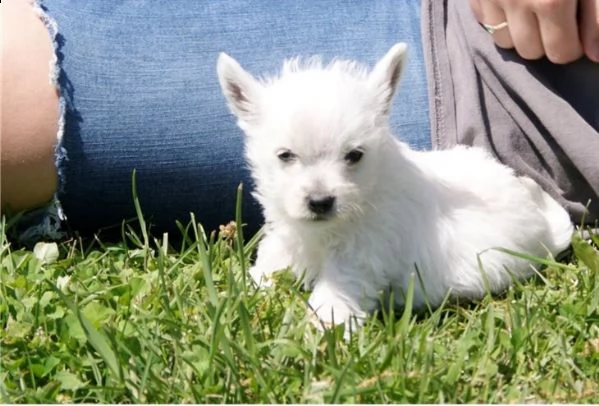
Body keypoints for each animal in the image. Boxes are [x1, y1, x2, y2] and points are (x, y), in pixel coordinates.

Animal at [218, 42, 576, 332]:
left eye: (354, 155)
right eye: (285, 156)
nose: (320, 202)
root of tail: (546, 229)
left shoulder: (361, 254)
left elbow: (336, 291)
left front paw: (322, 331)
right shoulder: (289, 236)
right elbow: (270, 263)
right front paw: (240, 293)